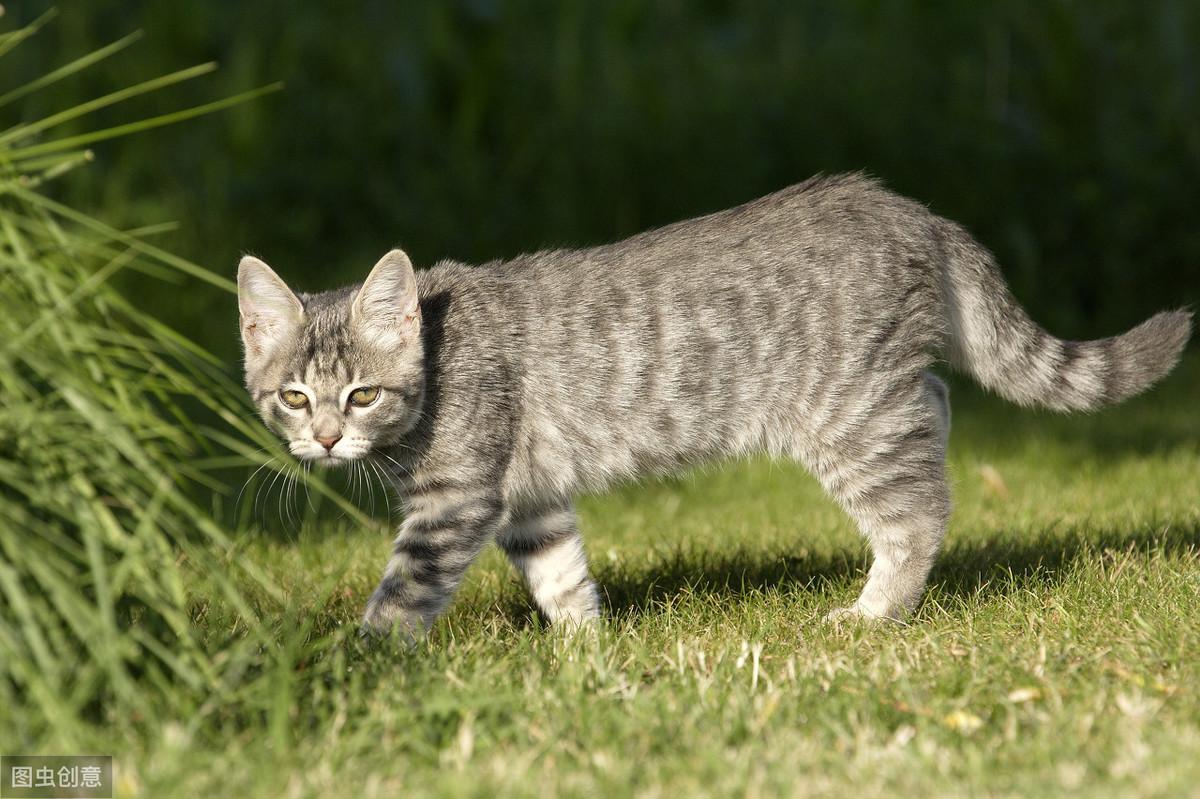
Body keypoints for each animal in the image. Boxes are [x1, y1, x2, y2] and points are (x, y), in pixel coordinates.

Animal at [236, 172, 1190, 633]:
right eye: (294, 396)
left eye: (361, 393)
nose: (326, 439)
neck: (438, 359)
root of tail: (913, 212)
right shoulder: (530, 499)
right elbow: (560, 576)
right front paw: (588, 653)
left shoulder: (455, 500)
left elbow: (402, 592)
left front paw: (358, 664)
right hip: (882, 397)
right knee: (938, 409)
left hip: (851, 415)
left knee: (918, 509)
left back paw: (873, 612)